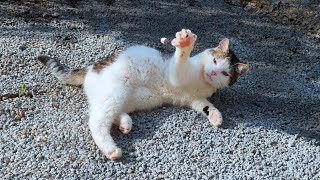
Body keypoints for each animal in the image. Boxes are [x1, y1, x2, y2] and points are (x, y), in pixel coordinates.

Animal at [37, 28, 248, 160]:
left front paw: (215, 115)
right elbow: (181, 57)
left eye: (225, 73)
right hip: (115, 92)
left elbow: (206, 105)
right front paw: (185, 42)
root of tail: (90, 68)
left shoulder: (193, 99)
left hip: (130, 98)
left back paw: (124, 123)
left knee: (110, 113)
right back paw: (110, 149)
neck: (202, 81)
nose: (212, 73)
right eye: (214, 61)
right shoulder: (176, 74)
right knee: (96, 121)